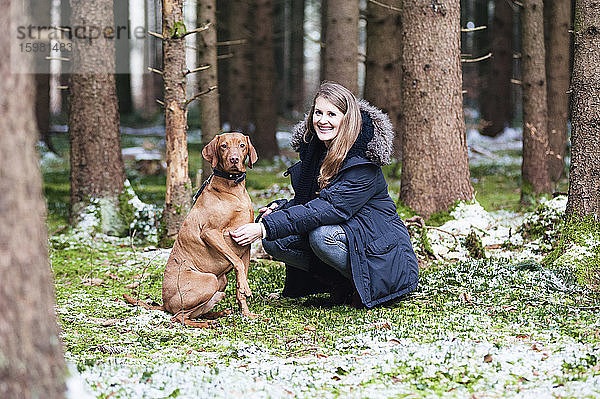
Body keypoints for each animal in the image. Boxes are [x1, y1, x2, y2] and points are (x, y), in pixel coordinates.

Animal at [124, 133, 258, 326]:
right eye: (223, 146)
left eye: (242, 145)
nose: (234, 159)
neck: (233, 189)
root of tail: (164, 303)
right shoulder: (210, 233)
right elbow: (237, 263)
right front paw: (245, 290)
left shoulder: (245, 245)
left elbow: (241, 281)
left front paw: (246, 313)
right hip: (210, 280)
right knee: (178, 317)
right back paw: (204, 323)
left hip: (221, 283)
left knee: (193, 313)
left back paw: (217, 314)